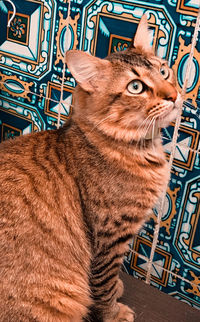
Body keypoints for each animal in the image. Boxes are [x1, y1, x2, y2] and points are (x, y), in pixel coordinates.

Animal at [0, 15, 179, 322]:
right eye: (135, 87)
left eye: (164, 71)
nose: (174, 96)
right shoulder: (110, 237)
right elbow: (103, 284)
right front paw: (114, 312)